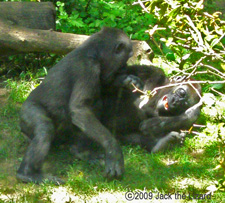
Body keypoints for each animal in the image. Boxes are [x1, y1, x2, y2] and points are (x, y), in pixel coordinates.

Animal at [16, 27, 135, 184]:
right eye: (126, 58)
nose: (126, 67)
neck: (95, 52)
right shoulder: (88, 69)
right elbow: (80, 109)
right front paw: (113, 151)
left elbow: (98, 91)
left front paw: (127, 81)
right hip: (26, 114)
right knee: (44, 129)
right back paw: (27, 173)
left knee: (95, 105)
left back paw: (82, 152)